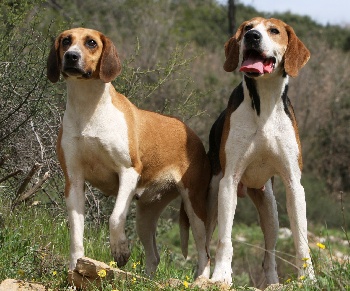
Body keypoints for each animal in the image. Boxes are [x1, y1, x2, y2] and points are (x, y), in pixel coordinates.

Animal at [46, 28, 211, 280]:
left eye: (91, 43)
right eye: (66, 41)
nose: (71, 56)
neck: (89, 108)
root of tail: (193, 136)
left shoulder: (128, 172)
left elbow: (115, 218)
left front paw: (120, 250)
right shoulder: (73, 181)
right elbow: (75, 231)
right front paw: (75, 265)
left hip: (195, 207)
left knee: (204, 251)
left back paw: (201, 280)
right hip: (146, 216)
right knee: (154, 256)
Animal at [206, 17, 316, 286]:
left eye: (274, 30)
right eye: (247, 27)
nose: (252, 36)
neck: (265, 102)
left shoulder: (293, 184)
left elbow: (301, 240)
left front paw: (308, 278)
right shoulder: (229, 181)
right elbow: (225, 240)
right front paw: (221, 276)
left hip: (270, 209)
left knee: (270, 254)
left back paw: (273, 282)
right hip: (211, 201)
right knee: (205, 246)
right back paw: (203, 275)